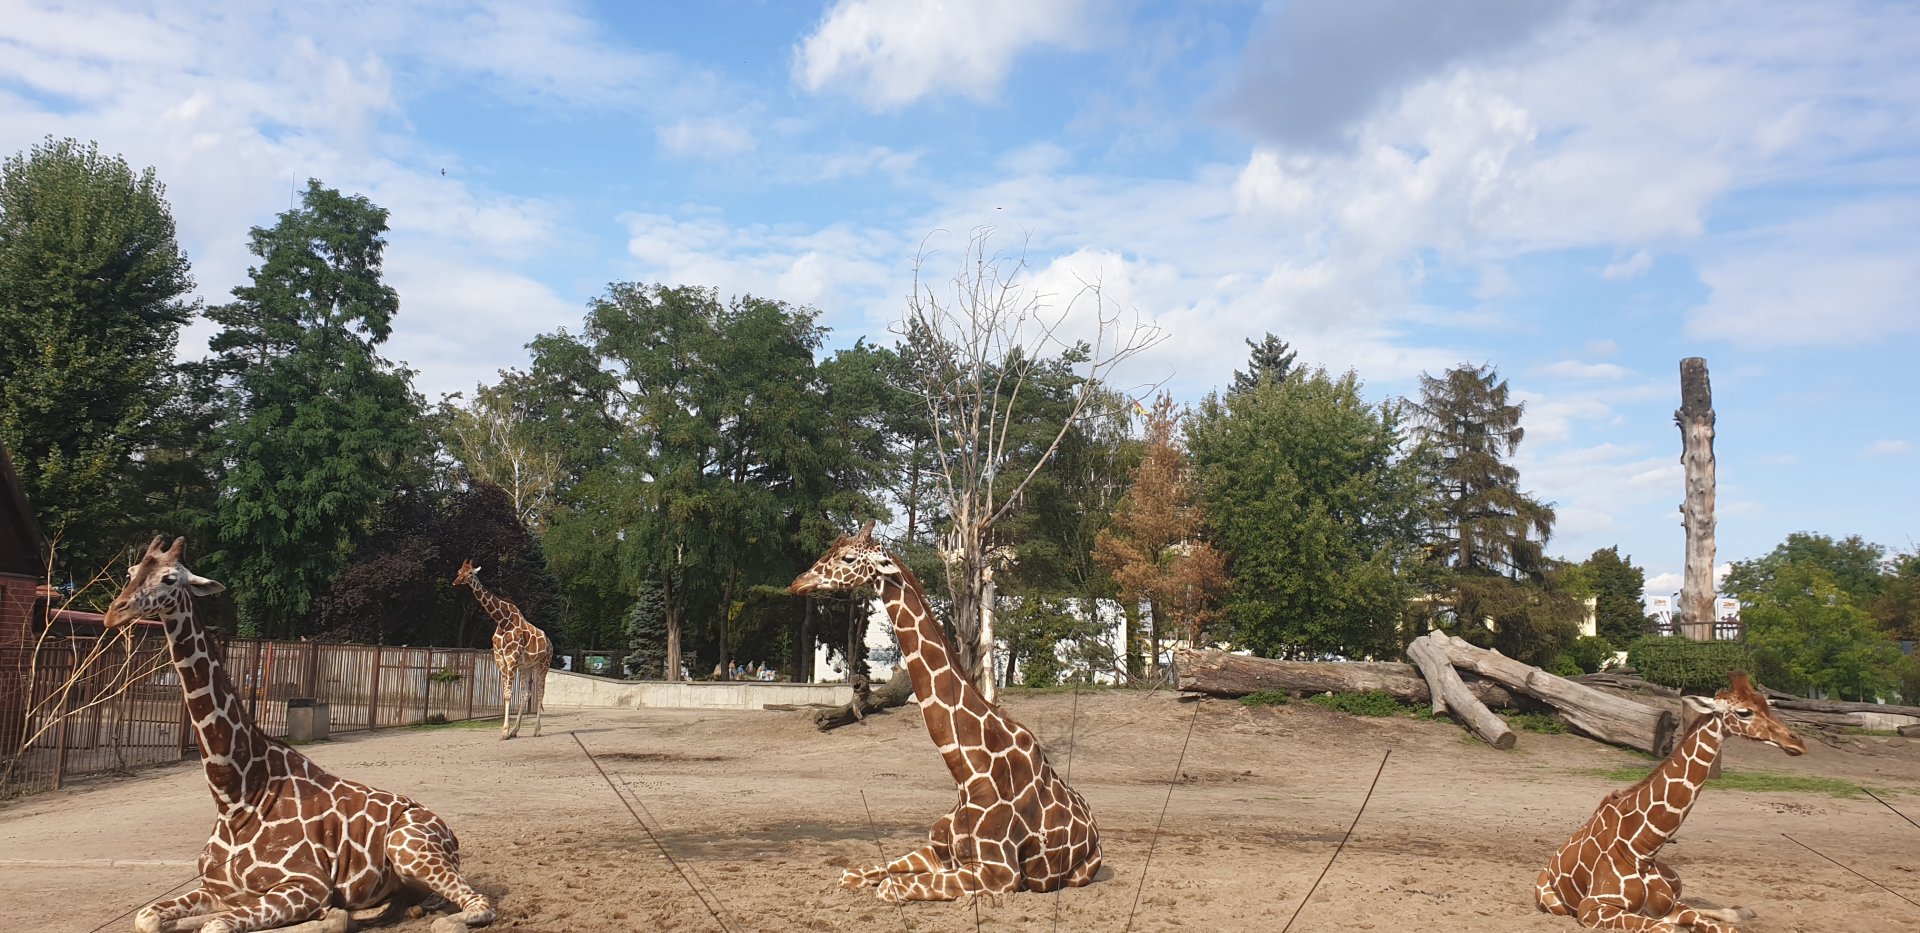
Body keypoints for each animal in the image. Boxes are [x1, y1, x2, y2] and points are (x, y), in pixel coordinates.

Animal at [103, 536, 494, 933]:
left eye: (170, 578)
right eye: (130, 572)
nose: (114, 613)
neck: (235, 797)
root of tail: (448, 831)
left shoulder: (306, 883)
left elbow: (218, 925)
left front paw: (326, 916)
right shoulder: (216, 889)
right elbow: (147, 916)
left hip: (408, 847)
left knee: (476, 904)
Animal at [452, 559, 552, 740]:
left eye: (470, 573)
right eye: (458, 571)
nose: (456, 582)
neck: (502, 621)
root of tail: (549, 642)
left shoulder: (511, 659)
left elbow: (508, 693)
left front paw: (504, 731)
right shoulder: (500, 660)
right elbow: (505, 693)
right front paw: (508, 731)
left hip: (543, 664)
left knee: (540, 693)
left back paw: (536, 730)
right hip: (527, 667)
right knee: (526, 694)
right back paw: (516, 731)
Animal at [789, 521, 1103, 903]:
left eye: (848, 558)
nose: (798, 582)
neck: (967, 773)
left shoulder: (1000, 874)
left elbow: (889, 887)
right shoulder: (936, 850)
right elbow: (858, 873)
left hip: (1077, 873)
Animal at [1535, 671, 1807, 932]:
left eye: (1767, 705)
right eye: (1744, 712)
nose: (1797, 742)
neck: (1642, 850)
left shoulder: (1669, 905)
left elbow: (1720, 926)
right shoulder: (1592, 908)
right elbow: (1667, 928)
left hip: (1676, 879)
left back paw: (1743, 910)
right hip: (1552, 903)